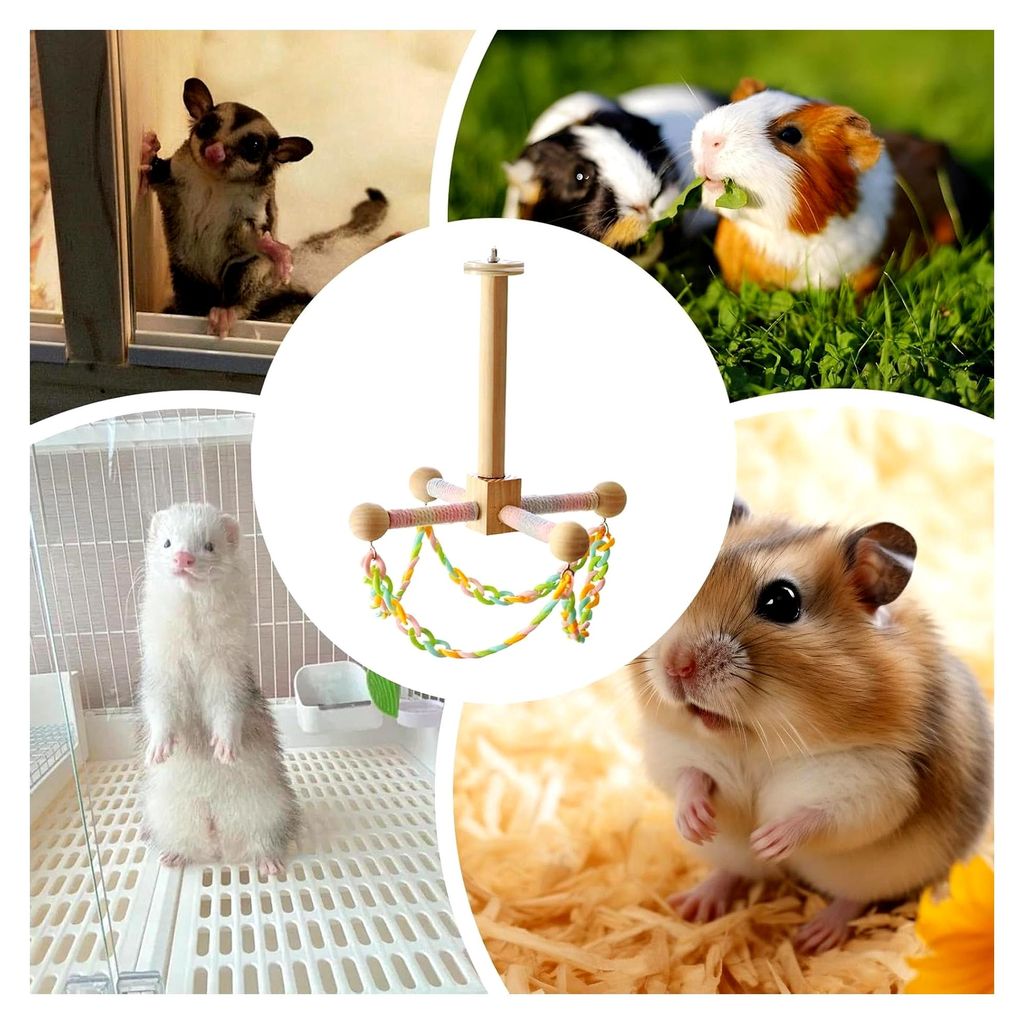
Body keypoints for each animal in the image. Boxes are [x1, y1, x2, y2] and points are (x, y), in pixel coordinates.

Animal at [137, 503, 299, 875]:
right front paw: (159, 746)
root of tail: (216, 832)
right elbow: (159, 707)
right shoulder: (160, 672)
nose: (183, 557)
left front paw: (225, 746)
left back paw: (269, 861)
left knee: (263, 838)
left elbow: (227, 709)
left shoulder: (229, 673)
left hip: (272, 806)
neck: (194, 649)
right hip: (164, 810)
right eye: (167, 542)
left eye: (209, 545)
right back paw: (174, 855)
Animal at [140, 77, 313, 337]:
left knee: (241, 277)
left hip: (248, 274)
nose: (214, 151)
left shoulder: (250, 210)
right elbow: (158, 172)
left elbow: (251, 237)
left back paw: (226, 312)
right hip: (185, 274)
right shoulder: (176, 175)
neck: (216, 182)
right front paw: (148, 148)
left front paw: (277, 252)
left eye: (253, 146)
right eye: (207, 126)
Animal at [633, 500, 992, 954]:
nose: (676, 666)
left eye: (781, 602)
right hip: (727, 852)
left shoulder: (875, 780)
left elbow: (822, 815)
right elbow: (688, 777)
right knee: (733, 871)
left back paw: (814, 936)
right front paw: (695, 823)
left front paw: (769, 840)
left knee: (853, 899)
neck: (753, 737)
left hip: (875, 872)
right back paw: (694, 905)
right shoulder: (675, 747)